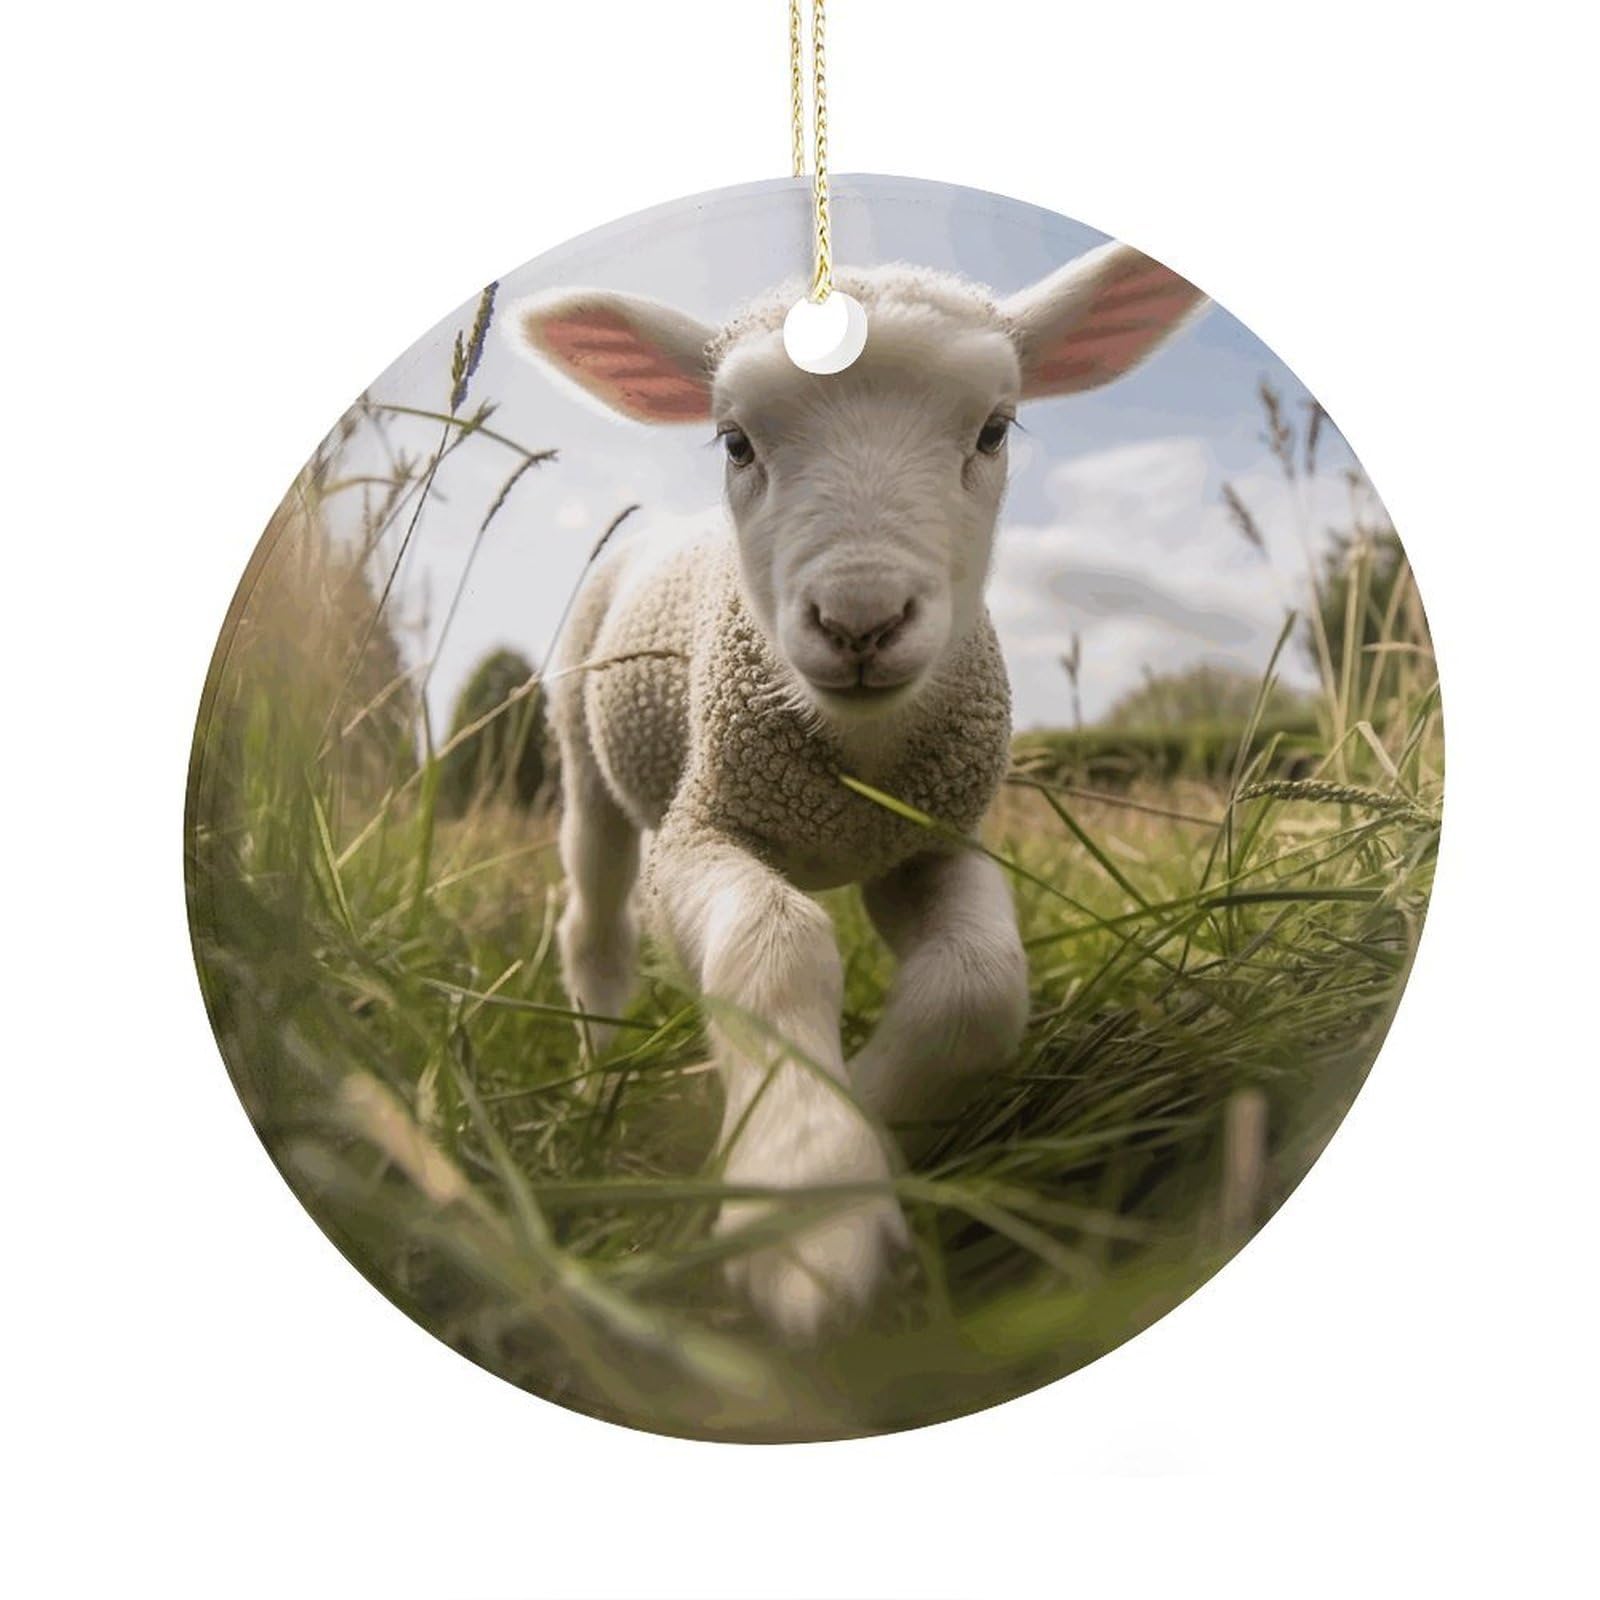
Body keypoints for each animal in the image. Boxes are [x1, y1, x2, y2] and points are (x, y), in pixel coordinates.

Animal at [507, 242, 1208, 1339]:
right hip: (585, 752)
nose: (860, 620)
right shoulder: (704, 828)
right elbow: (774, 943)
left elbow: (977, 986)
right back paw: (594, 1087)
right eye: (735, 440)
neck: (854, 760)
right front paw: (807, 1199)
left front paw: (870, 1122)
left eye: (994, 427)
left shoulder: (931, 838)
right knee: (596, 925)